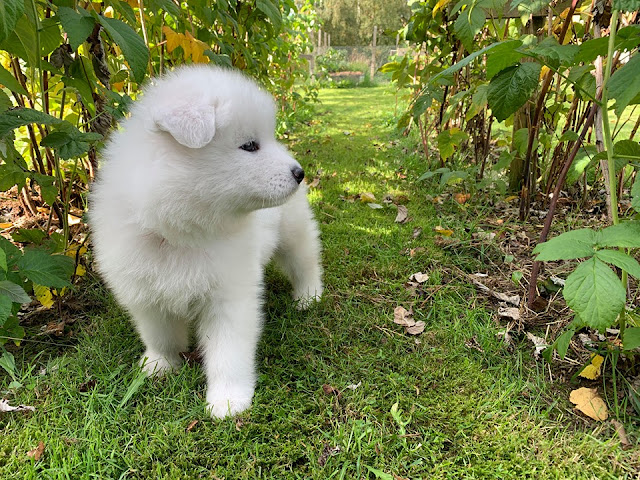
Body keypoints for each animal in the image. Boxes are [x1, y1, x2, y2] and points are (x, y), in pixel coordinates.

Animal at [90, 65, 323, 418]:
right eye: (250, 145)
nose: (299, 172)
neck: (180, 231)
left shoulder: (229, 296)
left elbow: (228, 352)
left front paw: (228, 400)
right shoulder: (144, 291)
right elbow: (159, 334)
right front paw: (160, 364)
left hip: (292, 229)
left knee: (305, 259)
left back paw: (308, 295)